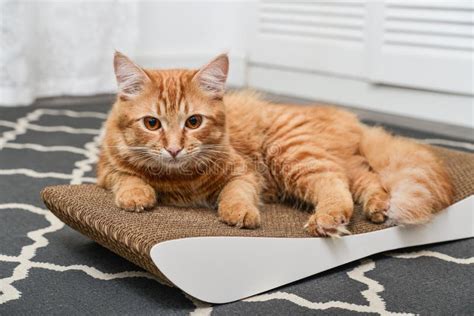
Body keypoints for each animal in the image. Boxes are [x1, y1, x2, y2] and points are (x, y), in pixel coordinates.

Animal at [97, 51, 456, 236]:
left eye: (194, 122)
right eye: (152, 123)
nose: (174, 148)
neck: (178, 179)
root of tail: (347, 118)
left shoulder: (245, 172)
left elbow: (235, 192)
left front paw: (238, 211)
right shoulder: (105, 170)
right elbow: (127, 177)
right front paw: (137, 194)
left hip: (291, 153)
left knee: (335, 185)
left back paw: (328, 219)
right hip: (335, 162)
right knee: (367, 180)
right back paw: (377, 207)